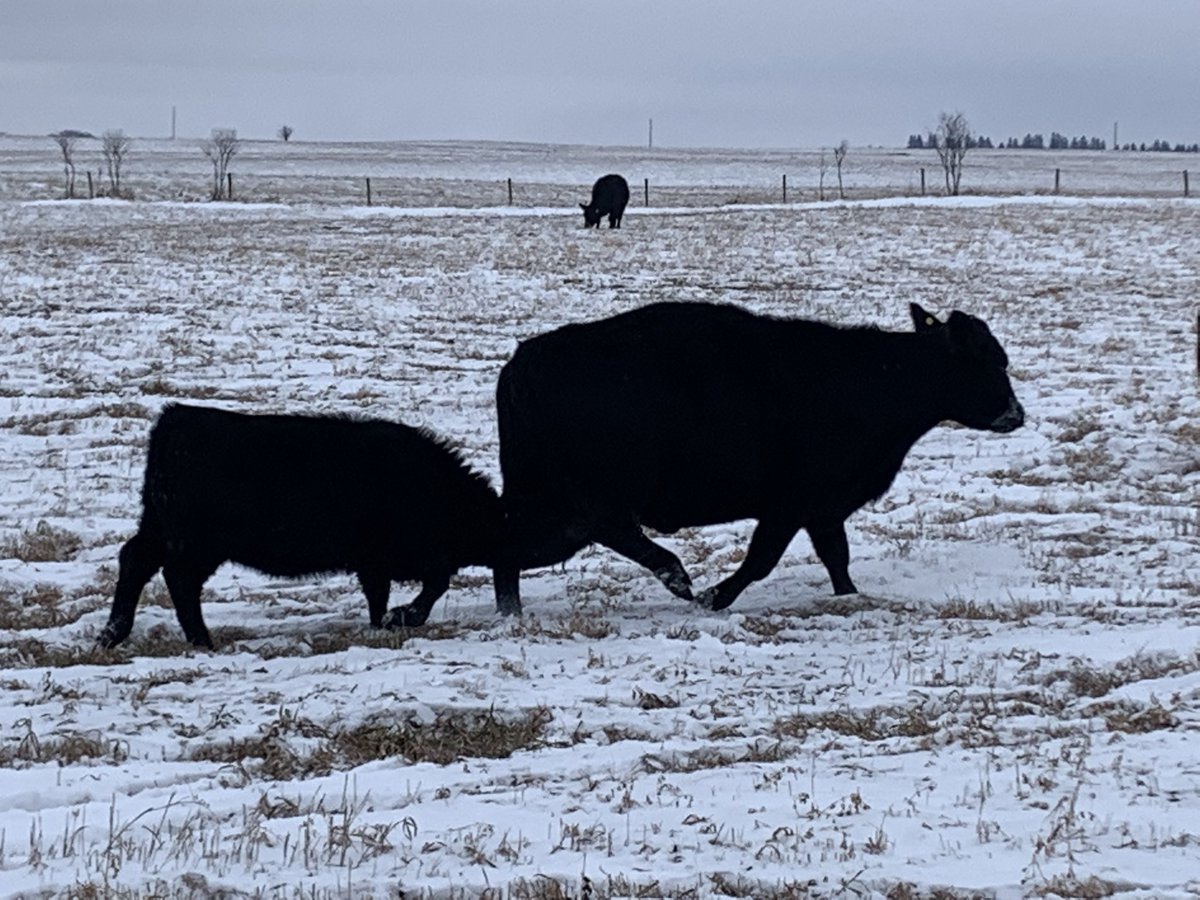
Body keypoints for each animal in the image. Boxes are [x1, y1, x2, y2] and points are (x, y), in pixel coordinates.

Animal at [98, 404, 501, 649]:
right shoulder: (411, 553)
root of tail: (176, 418)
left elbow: (379, 594)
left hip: (159, 528)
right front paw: (402, 617)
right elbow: (435, 583)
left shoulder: (374, 561)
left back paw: (112, 634)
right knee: (179, 579)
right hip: (196, 543)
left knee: (135, 560)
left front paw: (382, 622)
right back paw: (202, 641)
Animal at [492, 301, 1024, 615]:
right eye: (990, 361)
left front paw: (850, 597)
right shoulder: (791, 504)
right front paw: (714, 596)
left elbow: (836, 558)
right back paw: (676, 575)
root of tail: (522, 362)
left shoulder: (821, 508)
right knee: (600, 531)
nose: (1016, 414)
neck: (874, 376)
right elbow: (762, 559)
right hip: (585, 498)